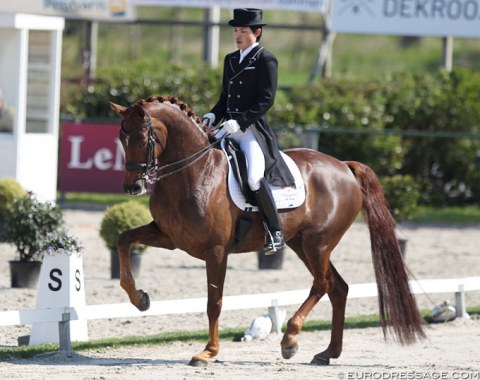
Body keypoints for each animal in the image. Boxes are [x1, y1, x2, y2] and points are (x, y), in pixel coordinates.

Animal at [109, 95, 424, 368]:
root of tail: (345, 167)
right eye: (122, 139)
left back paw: (290, 340)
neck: (194, 172)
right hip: (301, 244)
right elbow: (124, 240)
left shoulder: (216, 251)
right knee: (338, 288)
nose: (133, 187)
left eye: (141, 138)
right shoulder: (170, 237)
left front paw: (208, 352)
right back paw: (327, 353)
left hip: (318, 244)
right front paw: (140, 299)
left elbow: (214, 302)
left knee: (322, 284)